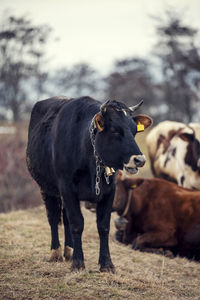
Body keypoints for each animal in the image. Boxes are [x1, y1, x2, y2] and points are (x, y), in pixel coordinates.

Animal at [26, 95, 152, 272]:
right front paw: (78, 263)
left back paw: (69, 251)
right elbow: (77, 224)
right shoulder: (67, 188)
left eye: (134, 131)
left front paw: (106, 263)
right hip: (46, 187)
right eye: (115, 130)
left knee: (65, 218)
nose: (139, 160)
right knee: (53, 217)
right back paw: (56, 252)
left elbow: (103, 226)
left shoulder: (109, 191)